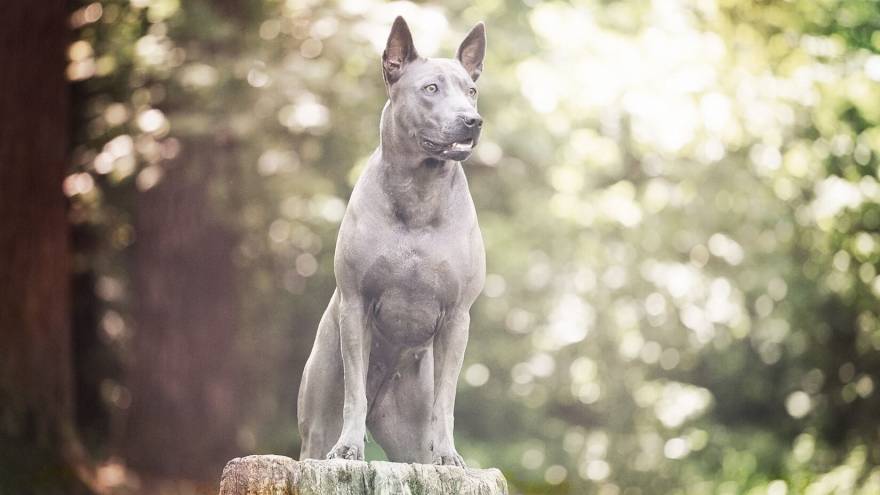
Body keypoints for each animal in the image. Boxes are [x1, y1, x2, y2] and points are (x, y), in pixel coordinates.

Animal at [298, 16, 488, 468]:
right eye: (431, 88)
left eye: (471, 91)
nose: (472, 120)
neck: (419, 191)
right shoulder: (356, 304)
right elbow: (353, 392)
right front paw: (349, 448)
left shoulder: (458, 318)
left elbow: (446, 400)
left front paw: (450, 455)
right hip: (315, 422)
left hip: (410, 434)